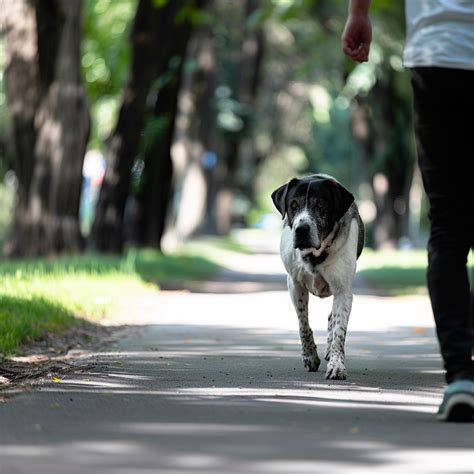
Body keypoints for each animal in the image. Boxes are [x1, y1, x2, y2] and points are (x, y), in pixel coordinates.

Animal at [272, 173, 364, 378]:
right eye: (293, 205)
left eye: (321, 204)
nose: (301, 230)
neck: (316, 253)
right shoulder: (295, 284)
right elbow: (303, 324)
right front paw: (310, 356)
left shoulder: (343, 291)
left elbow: (339, 330)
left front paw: (336, 364)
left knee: (334, 320)